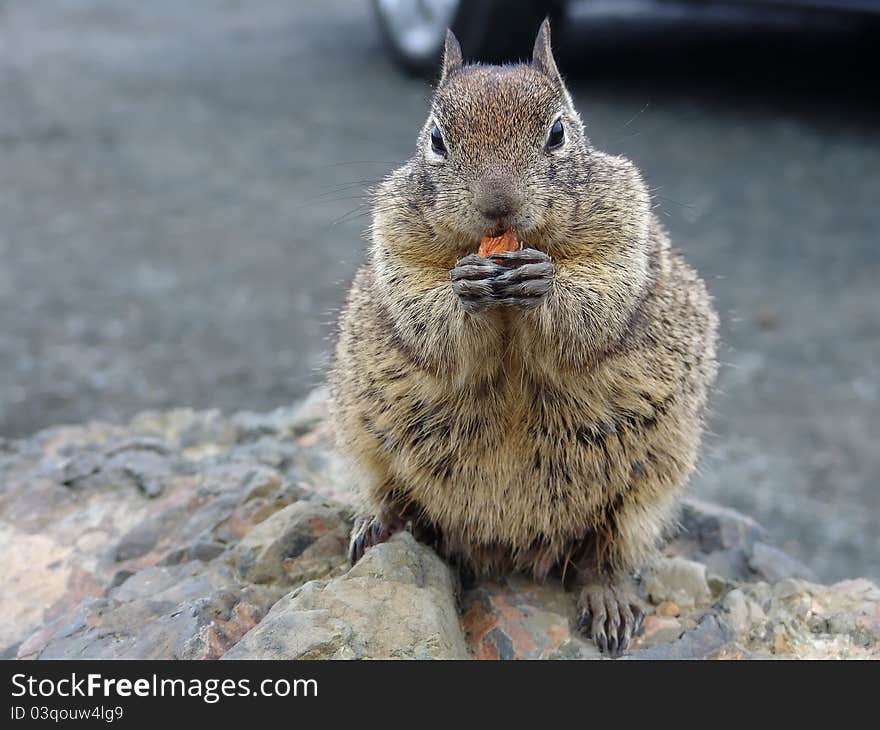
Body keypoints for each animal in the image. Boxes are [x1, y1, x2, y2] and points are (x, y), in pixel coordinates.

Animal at [328, 18, 716, 656]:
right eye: (436, 138)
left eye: (557, 133)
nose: (498, 204)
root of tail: (506, 544)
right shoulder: (396, 242)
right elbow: (422, 313)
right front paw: (462, 288)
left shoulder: (624, 227)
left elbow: (599, 302)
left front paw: (544, 282)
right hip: (366, 443)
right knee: (395, 498)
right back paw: (377, 523)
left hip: (644, 493)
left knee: (602, 556)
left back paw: (609, 603)